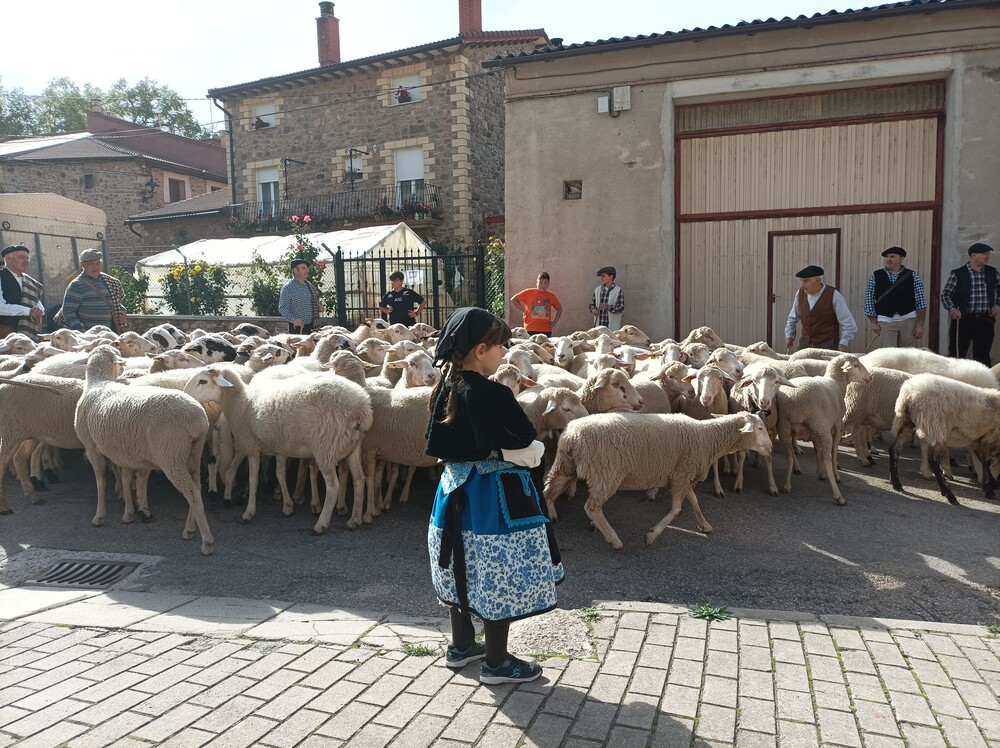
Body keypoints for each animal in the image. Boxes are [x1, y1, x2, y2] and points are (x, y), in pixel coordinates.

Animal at [75, 348, 214, 552]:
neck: (98, 382)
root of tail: (198, 418)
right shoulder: (128, 452)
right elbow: (132, 480)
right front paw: (133, 511)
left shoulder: (92, 448)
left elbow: (101, 481)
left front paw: (100, 516)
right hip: (192, 454)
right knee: (196, 487)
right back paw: (189, 530)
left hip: (171, 456)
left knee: (192, 493)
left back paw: (207, 541)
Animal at [183, 364, 372, 532]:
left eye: (203, 381)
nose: (185, 394)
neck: (240, 403)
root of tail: (361, 409)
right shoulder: (280, 447)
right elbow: (280, 474)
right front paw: (287, 506)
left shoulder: (252, 447)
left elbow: (253, 480)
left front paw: (248, 513)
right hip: (353, 446)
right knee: (359, 479)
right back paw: (354, 520)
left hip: (325, 448)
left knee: (333, 486)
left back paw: (321, 524)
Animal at [544, 410, 768, 548]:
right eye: (760, 428)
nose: (771, 448)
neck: (706, 437)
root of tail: (571, 436)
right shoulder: (682, 473)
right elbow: (676, 509)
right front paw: (651, 535)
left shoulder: (681, 472)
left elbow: (694, 500)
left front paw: (704, 525)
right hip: (606, 473)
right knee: (592, 508)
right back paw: (614, 539)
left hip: (565, 466)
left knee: (548, 493)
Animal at [772, 354, 868, 506]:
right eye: (856, 365)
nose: (868, 377)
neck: (837, 383)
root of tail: (794, 399)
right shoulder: (836, 426)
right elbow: (834, 452)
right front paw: (835, 473)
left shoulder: (815, 431)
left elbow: (817, 448)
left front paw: (819, 472)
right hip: (820, 426)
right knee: (827, 457)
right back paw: (838, 495)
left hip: (785, 426)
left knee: (789, 455)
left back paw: (787, 485)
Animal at [896, 372, 1000, 502]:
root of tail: (908, 393)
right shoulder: (989, 438)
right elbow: (986, 462)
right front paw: (989, 488)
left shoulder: (978, 440)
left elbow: (982, 461)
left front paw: (991, 484)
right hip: (936, 428)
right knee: (932, 458)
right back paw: (948, 493)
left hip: (914, 423)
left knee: (894, 448)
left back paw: (897, 483)